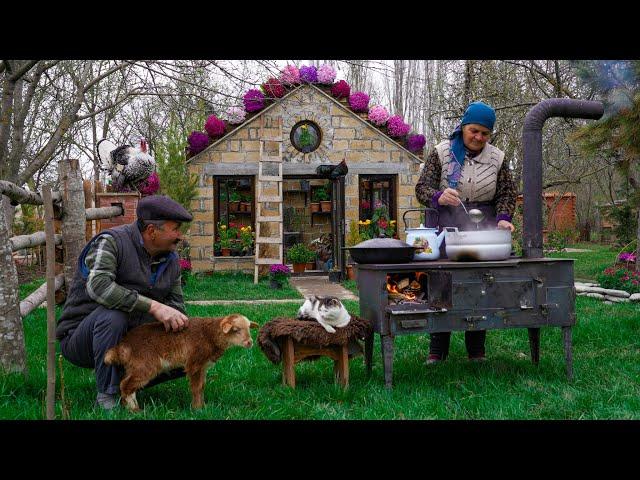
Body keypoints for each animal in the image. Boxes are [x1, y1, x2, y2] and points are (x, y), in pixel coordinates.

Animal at [104, 314, 258, 410]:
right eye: (236, 330)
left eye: (249, 328)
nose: (250, 342)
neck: (210, 334)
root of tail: (123, 345)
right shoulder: (194, 363)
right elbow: (196, 387)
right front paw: (197, 409)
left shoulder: (203, 366)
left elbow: (202, 386)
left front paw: (203, 406)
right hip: (145, 364)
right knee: (125, 385)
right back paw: (134, 410)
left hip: (134, 365)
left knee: (128, 384)